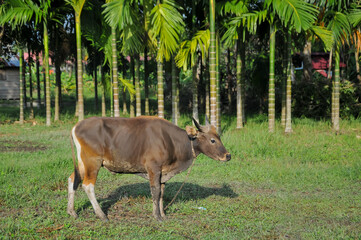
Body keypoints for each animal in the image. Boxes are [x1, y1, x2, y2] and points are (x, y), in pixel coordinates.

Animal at [67, 116, 231, 221]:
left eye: (219, 137)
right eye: (212, 140)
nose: (228, 156)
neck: (171, 141)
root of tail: (76, 126)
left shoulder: (163, 173)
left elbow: (162, 192)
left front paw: (163, 214)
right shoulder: (153, 168)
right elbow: (155, 191)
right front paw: (157, 216)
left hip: (82, 163)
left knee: (73, 180)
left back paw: (72, 211)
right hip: (93, 162)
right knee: (87, 185)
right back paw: (101, 215)